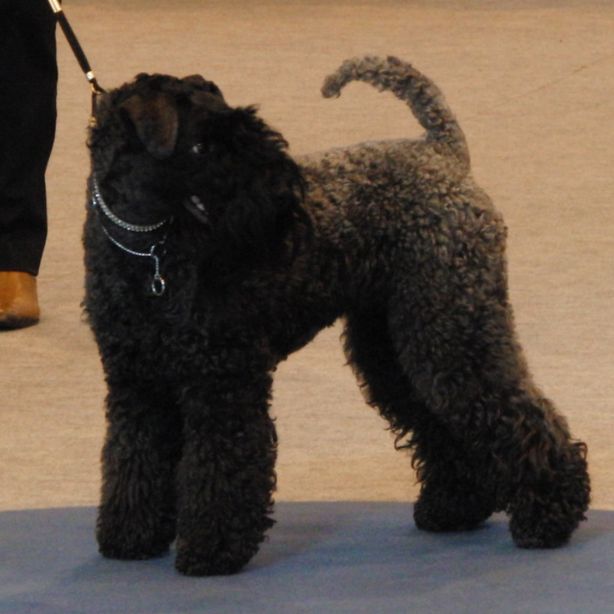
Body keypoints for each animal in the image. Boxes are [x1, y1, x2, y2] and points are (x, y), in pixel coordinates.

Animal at [83, 54, 592, 576]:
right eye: (201, 145)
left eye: (246, 130)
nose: (286, 197)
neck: (150, 254)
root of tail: (442, 153)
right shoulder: (136, 383)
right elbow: (132, 458)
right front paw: (131, 536)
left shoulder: (222, 381)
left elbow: (219, 466)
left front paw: (211, 550)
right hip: (393, 347)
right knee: (438, 421)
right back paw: (453, 507)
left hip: (450, 334)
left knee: (516, 414)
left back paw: (549, 517)